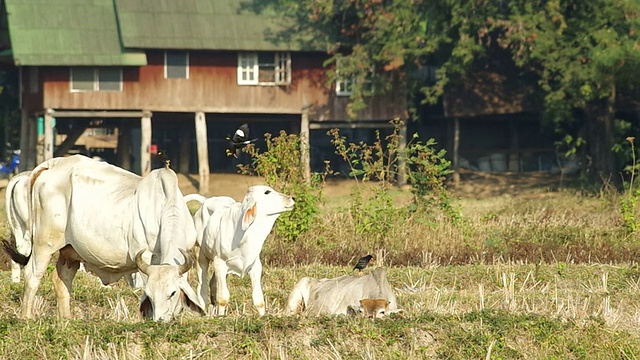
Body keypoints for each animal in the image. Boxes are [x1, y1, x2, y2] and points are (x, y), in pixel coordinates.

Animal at [3, 155, 205, 320]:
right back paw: (26, 318)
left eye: (172, 293)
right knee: (32, 275)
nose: (160, 320)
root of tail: (51, 164)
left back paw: (66, 320)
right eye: (150, 294)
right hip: (44, 244)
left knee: (62, 279)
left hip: (69, 251)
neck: (164, 209)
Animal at [195, 186, 296, 316]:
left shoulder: (255, 265)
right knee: (202, 286)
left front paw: (263, 316)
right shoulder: (219, 263)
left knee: (213, 285)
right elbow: (223, 298)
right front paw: (221, 317)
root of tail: (205, 201)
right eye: (267, 192)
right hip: (201, 255)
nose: (292, 198)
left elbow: (259, 299)